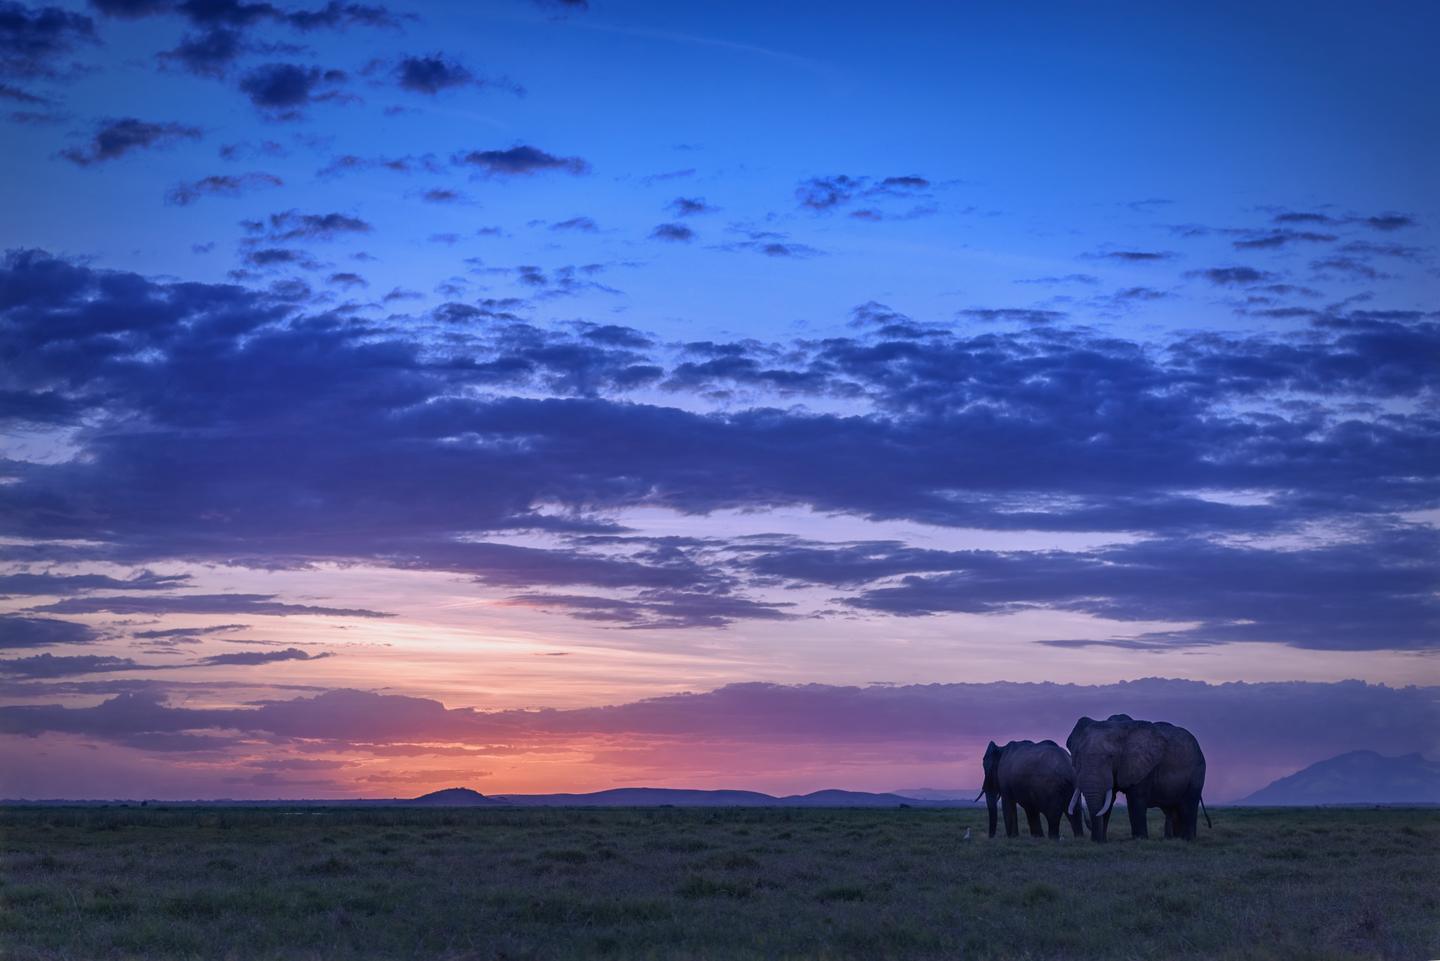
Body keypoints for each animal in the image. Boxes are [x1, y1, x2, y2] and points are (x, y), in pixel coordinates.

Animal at [1065, 714, 1209, 841]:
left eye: (1111, 757)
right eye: (1078, 756)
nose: (1095, 840)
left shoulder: (1142, 766)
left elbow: (1135, 800)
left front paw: (1140, 839)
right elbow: (1108, 800)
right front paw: (1101, 841)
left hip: (1198, 770)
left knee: (1188, 805)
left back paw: (1188, 839)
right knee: (1173, 809)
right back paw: (1175, 839)